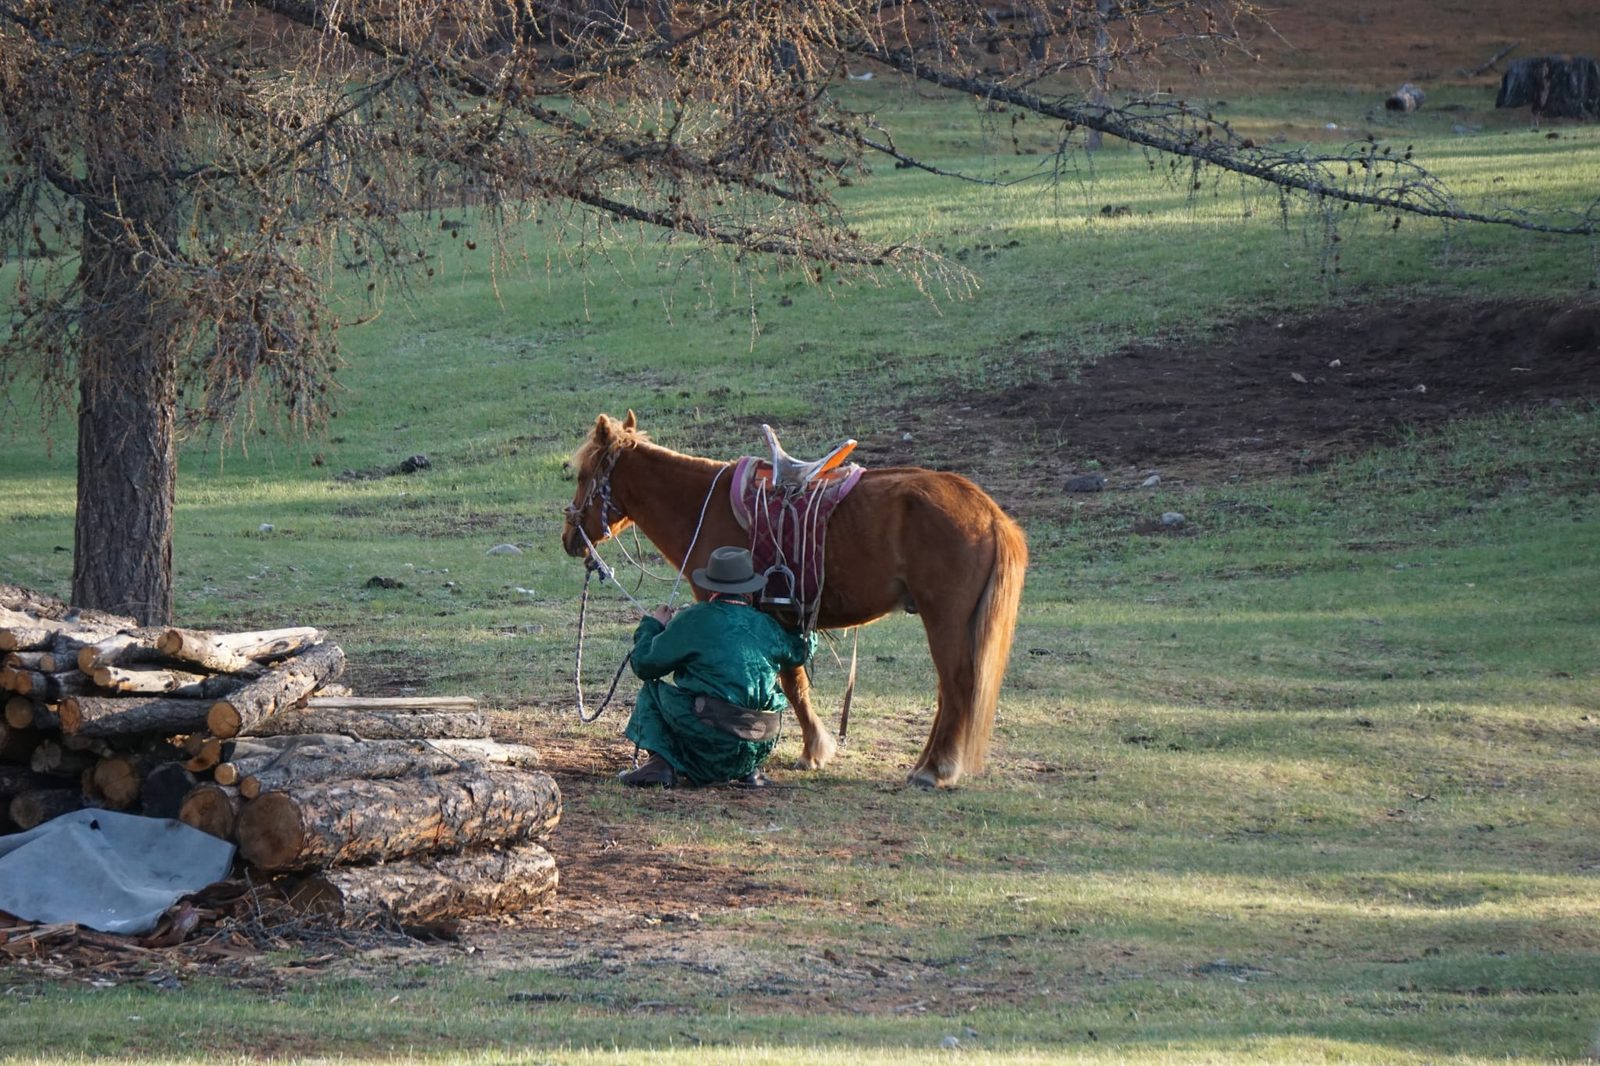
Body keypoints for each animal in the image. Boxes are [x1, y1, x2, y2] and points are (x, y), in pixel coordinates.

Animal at [562, 411, 1028, 788]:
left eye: (584, 475)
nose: (569, 539)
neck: (702, 507)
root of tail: (988, 512)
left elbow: (790, 684)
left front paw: (813, 750)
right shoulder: (784, 620)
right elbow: (796, 680)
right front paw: (814, 750)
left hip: (944, 617)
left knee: (956, 685)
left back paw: (935, 769)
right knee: (950, 692)